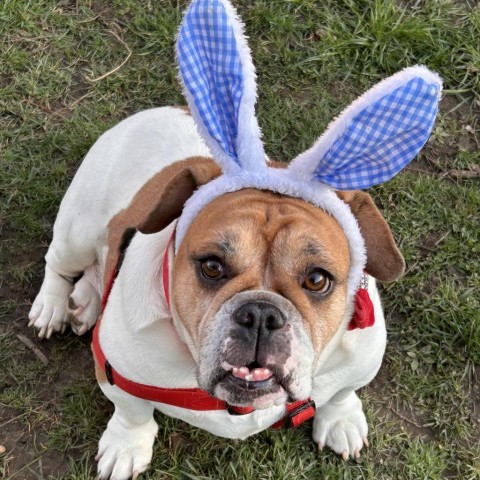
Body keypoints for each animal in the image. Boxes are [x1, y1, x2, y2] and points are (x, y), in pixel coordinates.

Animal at [28, 0, 440, 476]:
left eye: (317, 280)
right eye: (211, 266)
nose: (261, 314)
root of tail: (163, 110)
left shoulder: (361, 359)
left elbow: (341, 392)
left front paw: (341, 418)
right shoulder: (119, 372)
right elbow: (132, 411)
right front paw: (126, 445)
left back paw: (87, 299)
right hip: (78, 227)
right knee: (59, 263)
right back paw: (56, 305)